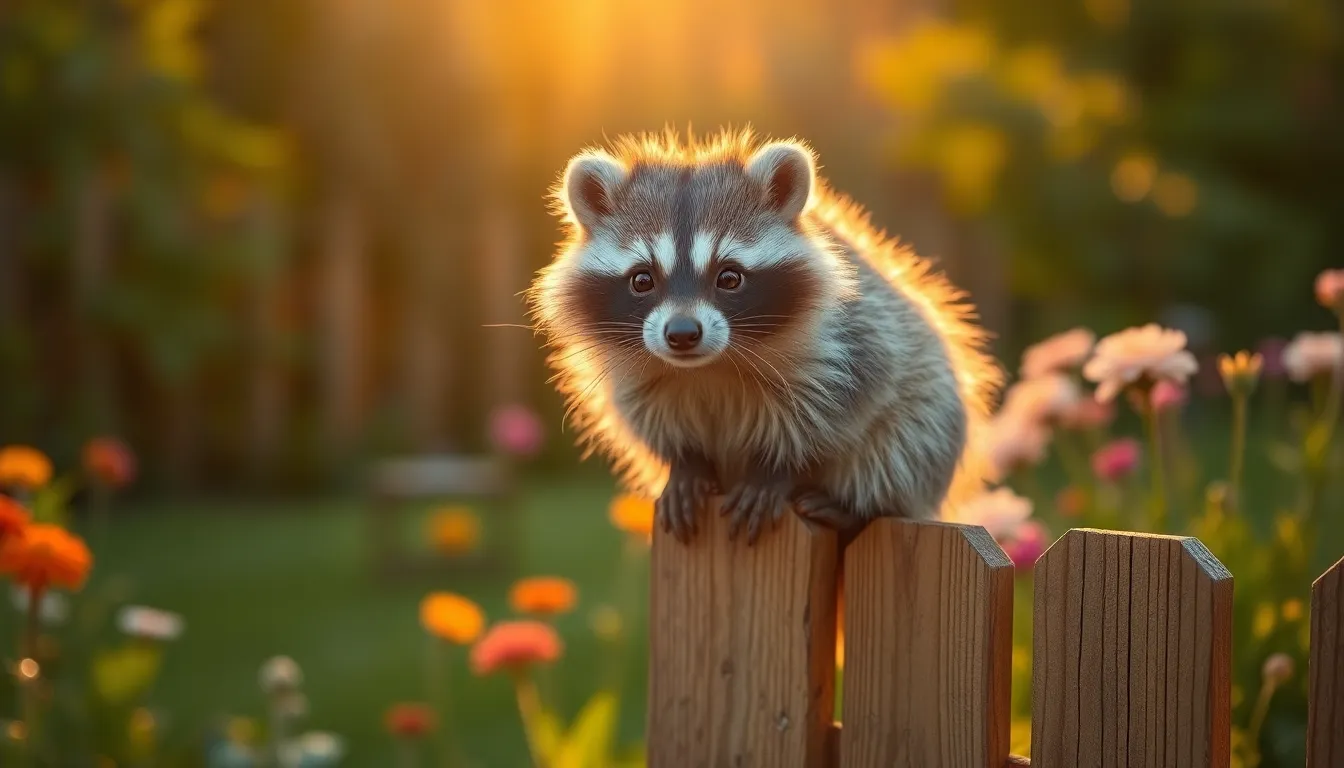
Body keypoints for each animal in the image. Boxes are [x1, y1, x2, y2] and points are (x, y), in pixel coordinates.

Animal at [527, 128, 1002, 545]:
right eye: (642, 280)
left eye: (729, 277)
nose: (682, 334)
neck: (707, 368)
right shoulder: (632, 369)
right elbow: (647, 418)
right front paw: (687, 465)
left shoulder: (853, 339)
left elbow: (838, 408)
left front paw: (775, 470)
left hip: (929, 413)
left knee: (905, 448)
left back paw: (855, 507)